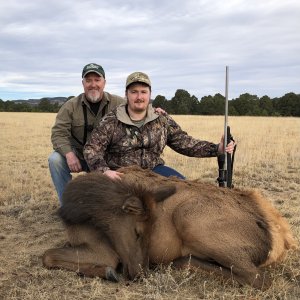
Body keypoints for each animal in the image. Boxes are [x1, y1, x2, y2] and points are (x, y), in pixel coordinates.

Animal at [42, 166, 298, 290]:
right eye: (139, 232)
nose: (140, 273)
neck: (77, 209)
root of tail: (282, 238)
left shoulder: (104, 251)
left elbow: (48, 256)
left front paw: (109, 273)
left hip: (187, 216)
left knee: (259, 279)